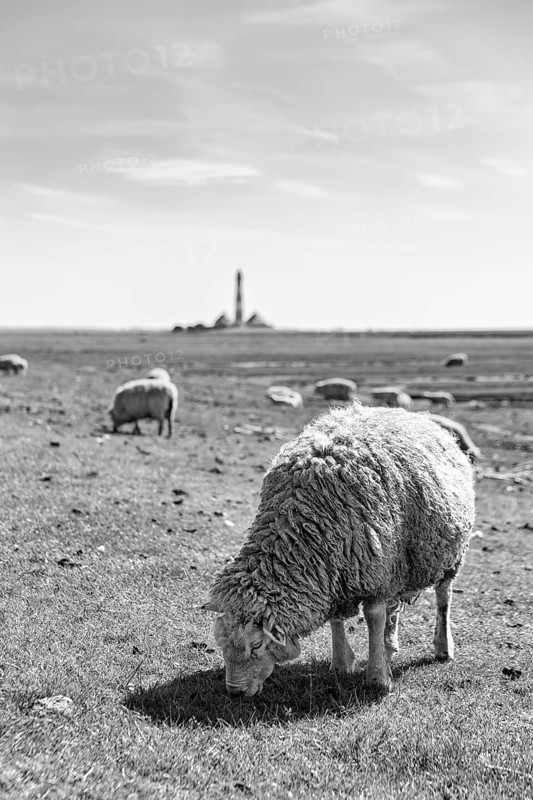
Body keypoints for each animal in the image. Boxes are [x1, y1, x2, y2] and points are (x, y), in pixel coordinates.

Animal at [204, 403, 475, 695]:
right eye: (221, 643)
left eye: (255, 645)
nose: (234, 691)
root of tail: (407, 412)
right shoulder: (334, 567)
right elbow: (336, 618)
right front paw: (342, 663)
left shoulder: (373, 573)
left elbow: (374, 617)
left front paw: (378, 677)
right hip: (398, 563)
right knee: (395, 609)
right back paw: (390, 646)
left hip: (447, 557)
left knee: (443, 598)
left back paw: (442, 648)